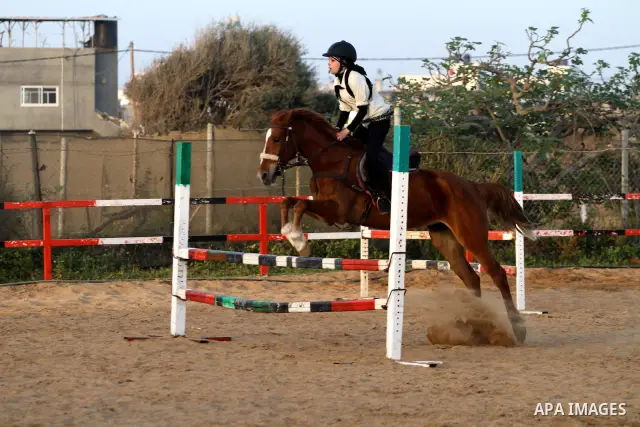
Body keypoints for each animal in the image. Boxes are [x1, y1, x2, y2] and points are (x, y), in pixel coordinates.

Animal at [257, 107, 537, 343]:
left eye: (277, 139)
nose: (264, 175)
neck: (332, 160)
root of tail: (473, 186)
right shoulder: (328, 211)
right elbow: (290, 201)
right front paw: (290, 234)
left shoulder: (338, 211)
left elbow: (300, 205)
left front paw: (299, 242)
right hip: (445, 238)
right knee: (471, 278)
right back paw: (475, 328)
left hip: (471, 235)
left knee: (497, 274)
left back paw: (518, 331)